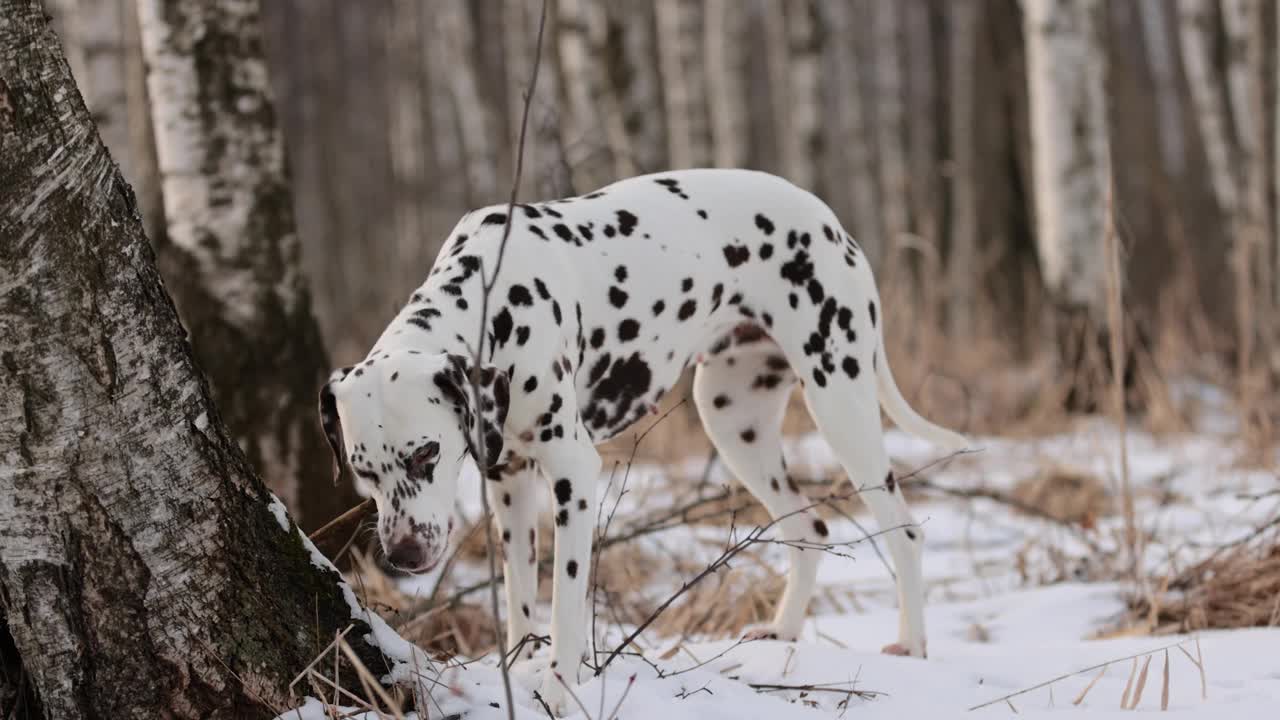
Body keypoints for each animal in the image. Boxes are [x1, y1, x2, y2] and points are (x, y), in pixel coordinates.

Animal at [317, 167, 962, 712]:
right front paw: (520, 670)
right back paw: (781, 633)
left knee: (904, 530)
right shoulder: (509, 482)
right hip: (734, 421)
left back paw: (912, 644)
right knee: (810, 525)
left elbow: (565, 600)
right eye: (363, 472)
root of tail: (828, 218)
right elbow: (523, 597)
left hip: (839, 403)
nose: (404, 555)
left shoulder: (573, 473)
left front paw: (557, 688)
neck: (493, 297)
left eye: (427, 453)